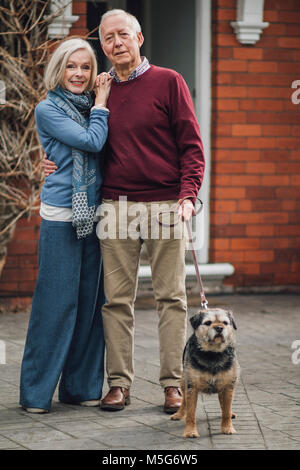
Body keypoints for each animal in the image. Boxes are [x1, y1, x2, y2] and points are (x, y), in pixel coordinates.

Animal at [171, 308, 239, 436]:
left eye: (225, 323)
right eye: (208, 323)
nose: (219, 327)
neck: (213, 354)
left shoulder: (228, 385)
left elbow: (226, 410)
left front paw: (227, 427)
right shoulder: (192, 387)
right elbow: (191, 413)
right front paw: (190, 432)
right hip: (183, 382)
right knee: (184, 401)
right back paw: (179, 414)